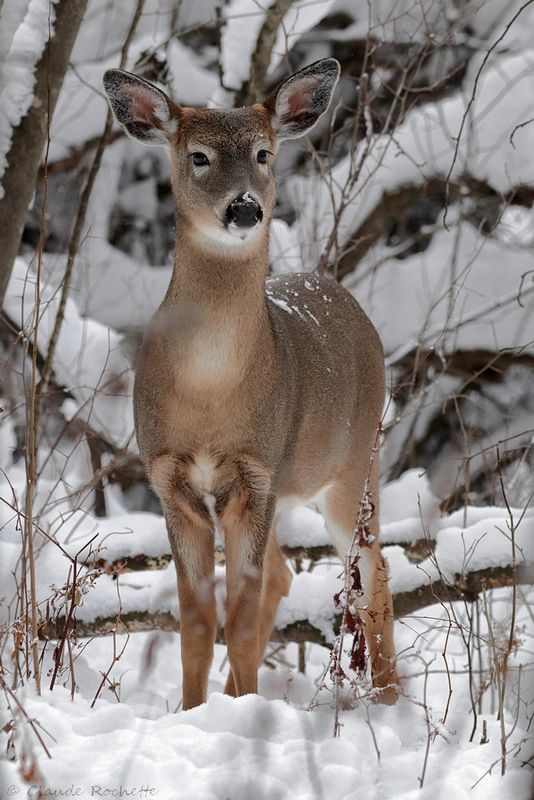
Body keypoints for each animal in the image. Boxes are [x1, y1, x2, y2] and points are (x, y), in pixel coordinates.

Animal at [104, 59, 398, 708]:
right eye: (199, 156)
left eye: (264, 153)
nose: (244, 208)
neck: (209, 394)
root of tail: (340, 293)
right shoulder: (169, 478)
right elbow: (196, 621)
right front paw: (195, 710)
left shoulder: (257, 471)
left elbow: (237, 617)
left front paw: (235, 710)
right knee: (286, 575)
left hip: (355, 465)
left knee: (373, 571)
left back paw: (392, 698)